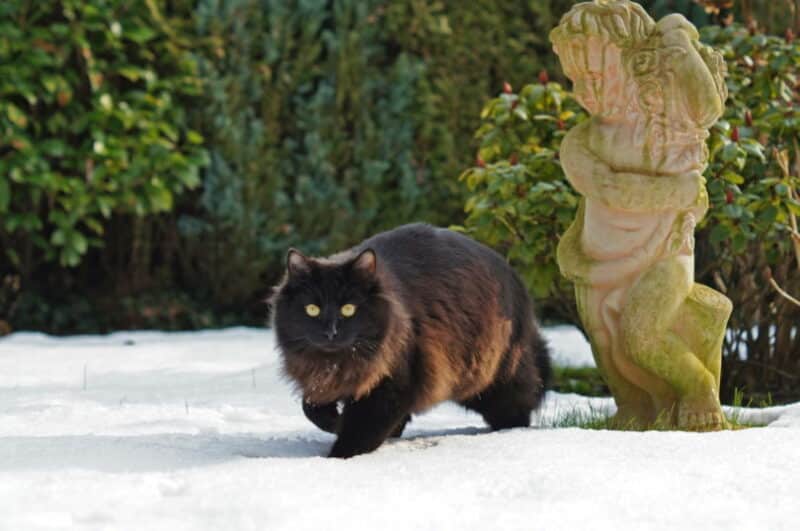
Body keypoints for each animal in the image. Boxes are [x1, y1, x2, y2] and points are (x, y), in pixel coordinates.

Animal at [268, 222, 552, 460]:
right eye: (312, 309)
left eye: (348, 309)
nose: (331, 332)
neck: (337, 363)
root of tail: (515, 278)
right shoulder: (323, 380)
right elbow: (311, 408)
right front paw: (334, 422)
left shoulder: (393, 381)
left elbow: (360, 430)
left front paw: (339, 456)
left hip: (492, 376)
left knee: (519, 405)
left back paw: (509, 433)